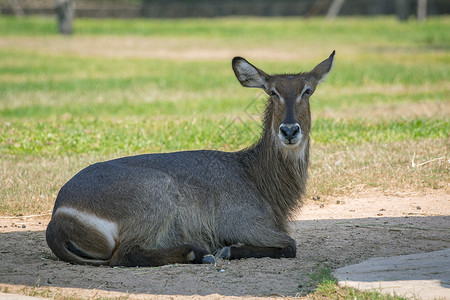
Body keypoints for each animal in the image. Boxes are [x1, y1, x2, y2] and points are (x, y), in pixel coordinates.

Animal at [46, 52, 334, 268]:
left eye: (307, 90)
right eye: (273, 92)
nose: (289, 130)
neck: (255, 175)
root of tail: (57, 219)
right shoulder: (245, 223)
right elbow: (290, 245)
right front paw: (228, 250)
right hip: (157, 193)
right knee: (125, 255)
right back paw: (199, 253)